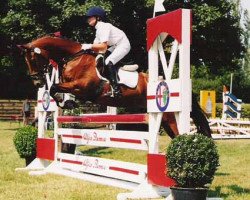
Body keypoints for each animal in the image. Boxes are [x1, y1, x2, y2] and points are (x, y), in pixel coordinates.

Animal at [18, 34, 212, 138]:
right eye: (26, 61)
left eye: (33, 59)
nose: (37, 82)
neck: (74, 58)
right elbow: (55, 89)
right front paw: (66, 102)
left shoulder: (82, 88)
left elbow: (54, 88)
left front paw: (66, 101)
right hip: (163, 119)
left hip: (169, 117)